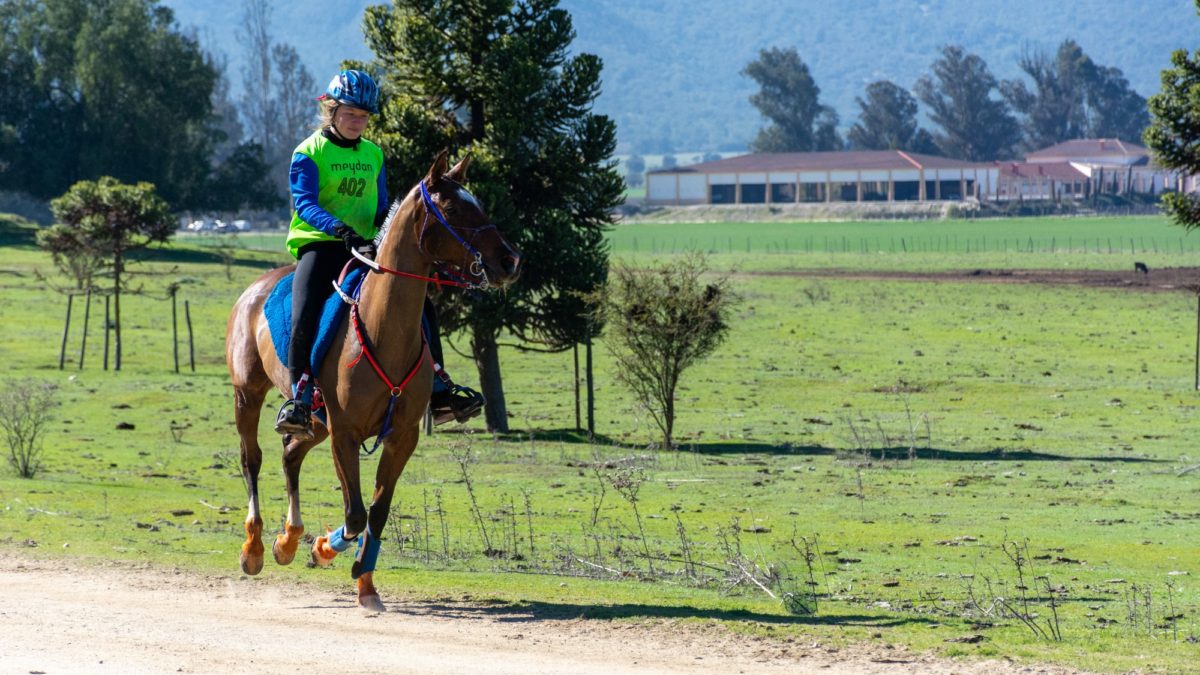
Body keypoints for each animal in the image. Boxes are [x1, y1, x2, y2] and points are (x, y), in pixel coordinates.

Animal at [225, 152, 520, 610]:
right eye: (453, 210)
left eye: (480, 205)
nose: (509, 262)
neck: (384, 330)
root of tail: (255, 289)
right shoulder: (345, 434)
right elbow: (355, 514)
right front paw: (323, 550)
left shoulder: (401, 437)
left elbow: (376, 513)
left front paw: (364, 582)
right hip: (250, 396)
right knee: (251, 460)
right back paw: (255, 549)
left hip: (316, 422)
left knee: (291, 454)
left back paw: (287, 542)